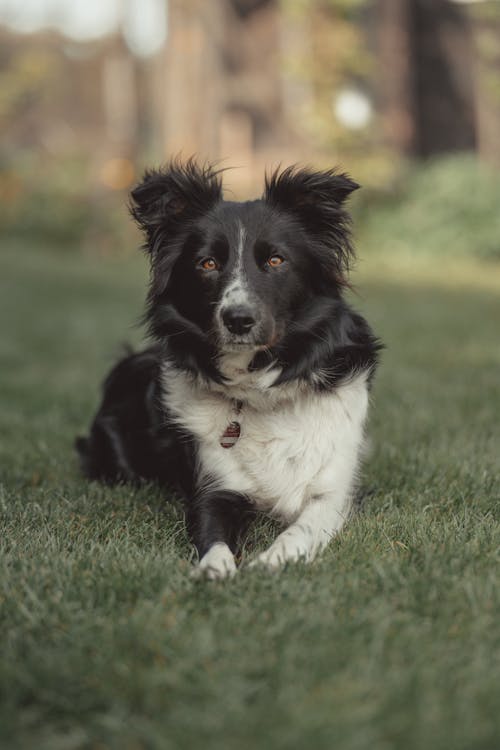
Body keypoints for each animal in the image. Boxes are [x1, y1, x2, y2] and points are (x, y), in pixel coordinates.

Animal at [77, 160, 382, 580]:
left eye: (275, 261)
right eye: (207, 264)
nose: (238, 319)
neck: (257, 388)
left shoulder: (335, 492)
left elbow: (302, 527)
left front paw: (272, 560)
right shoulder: (213, 488)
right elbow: (213, 535)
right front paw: (214, 570)